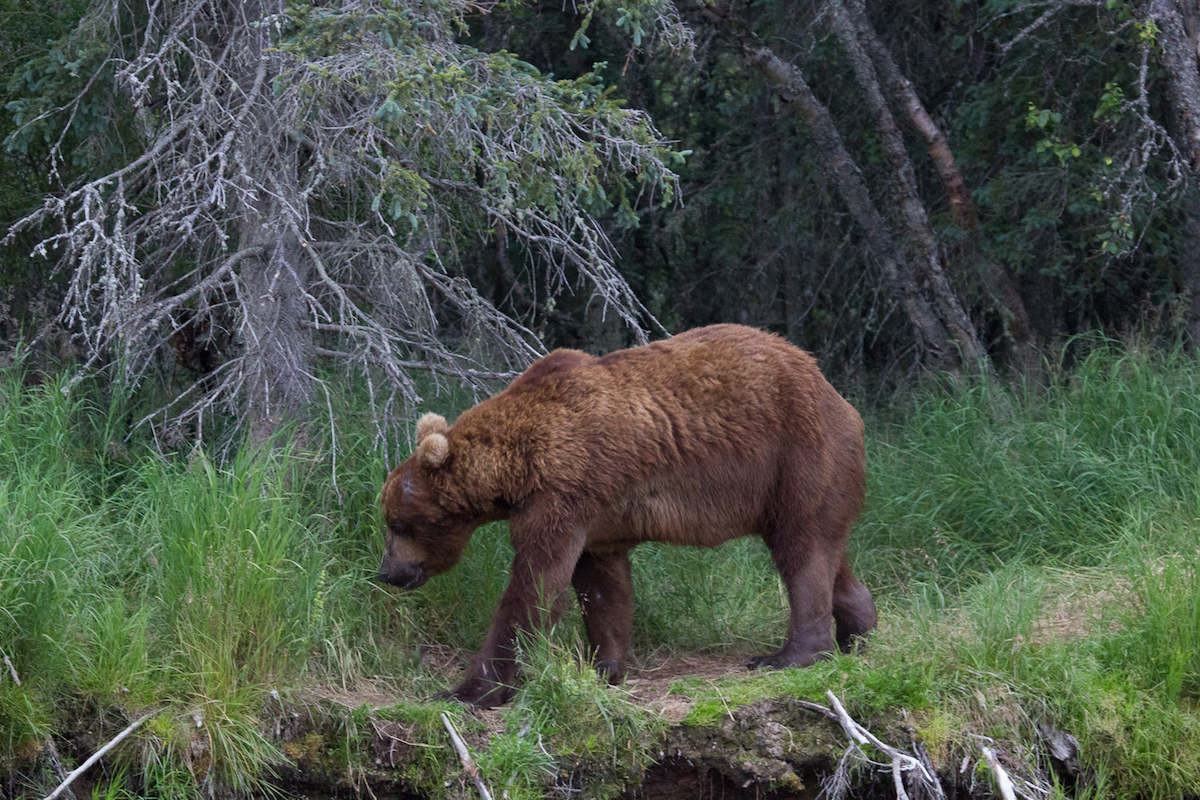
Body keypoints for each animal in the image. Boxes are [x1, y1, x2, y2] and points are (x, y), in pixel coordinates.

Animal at [379, 323, 878, 705]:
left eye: (398, 524)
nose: (387, 571)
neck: (516, 467)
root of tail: (839, 396)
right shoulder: (596, 514)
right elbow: (603, 588)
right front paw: (605, 666)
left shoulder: (561, 489)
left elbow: (535, 587)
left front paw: (467, 690)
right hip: (799, 480)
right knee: (825, 549)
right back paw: (859, 628)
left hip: (797, 455)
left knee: (802, 551)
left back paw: (789, 655)